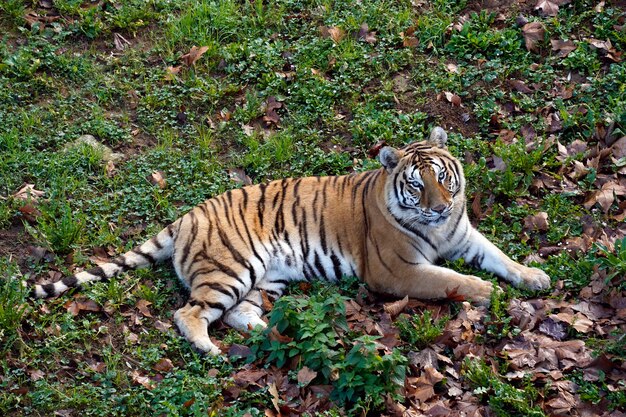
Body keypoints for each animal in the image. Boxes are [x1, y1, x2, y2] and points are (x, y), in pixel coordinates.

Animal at [31, 127, 548, 354]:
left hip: (264, 277)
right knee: (188, 313)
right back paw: (210, 349)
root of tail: (186, 217)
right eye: (417, 186)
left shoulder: (466, 237)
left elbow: (501, 256)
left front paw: (535, 277)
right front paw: (486, 292)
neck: (439, 227)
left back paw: (277, 333)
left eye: (442, 177)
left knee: (238, 314)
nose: (440, 207)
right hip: (229, 270)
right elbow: (446, 279)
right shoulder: (397, 270)